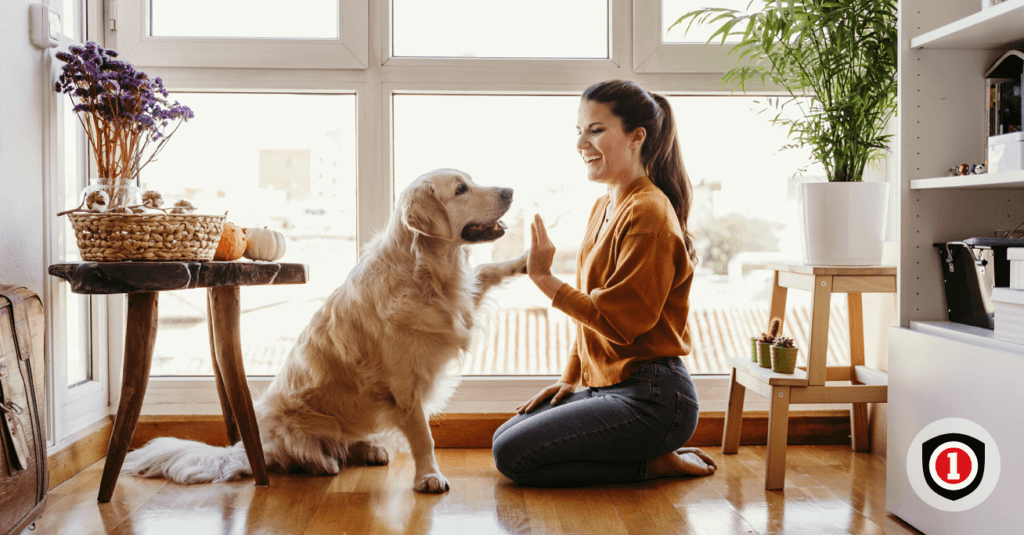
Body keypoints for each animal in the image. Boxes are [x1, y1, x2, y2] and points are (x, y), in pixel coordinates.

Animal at [121, 168, 528, 491]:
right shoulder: (404, 387)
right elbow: (424, 437)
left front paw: (526, 259)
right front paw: (429, 477)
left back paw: (370, 449)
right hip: (290, 423)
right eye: (460, 189)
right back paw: (323, 463)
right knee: (301, 456)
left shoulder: (460, 302)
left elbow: (487, 271)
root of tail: (250, 448)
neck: (427, 271)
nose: (510, 191)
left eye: (471, 181)